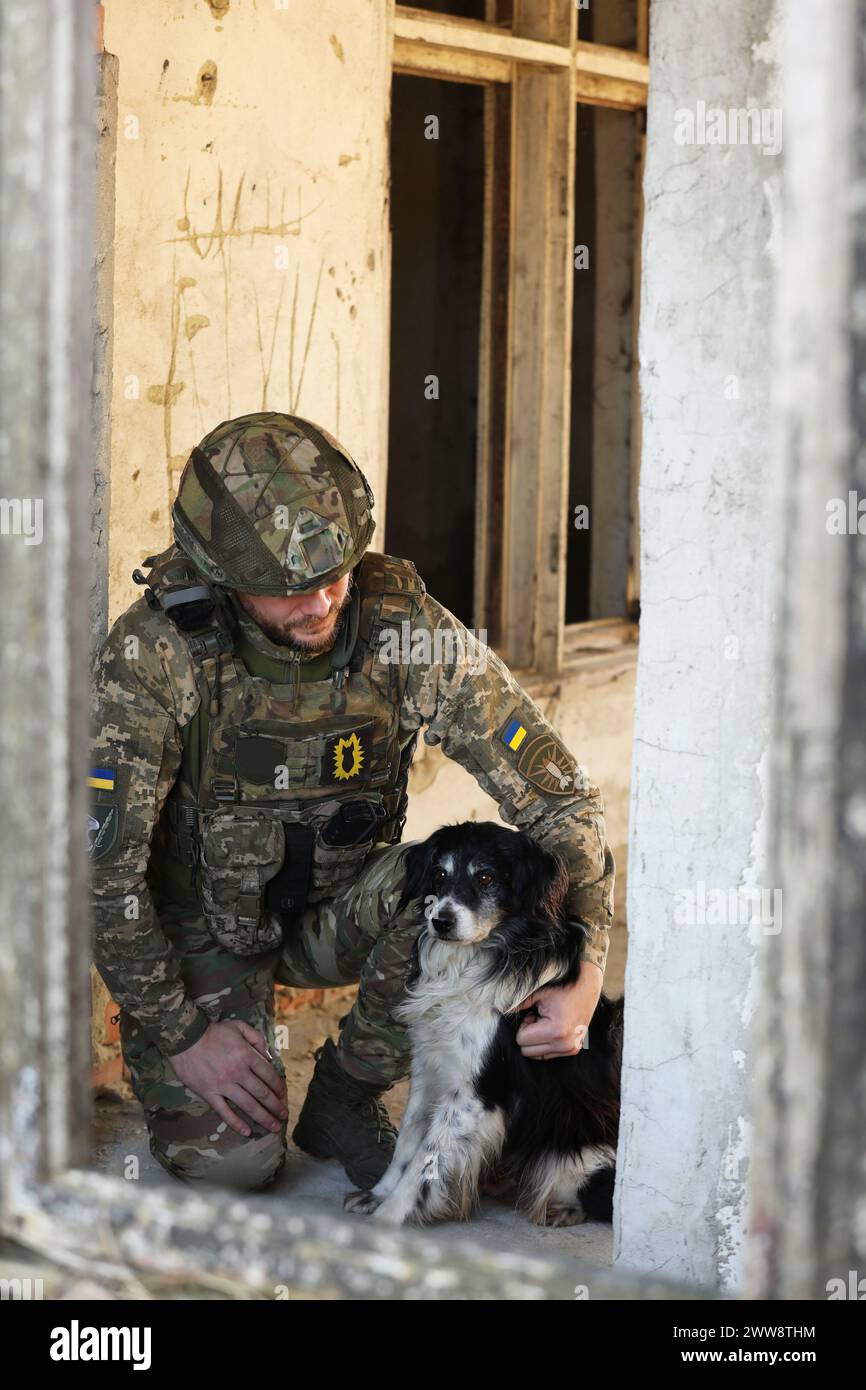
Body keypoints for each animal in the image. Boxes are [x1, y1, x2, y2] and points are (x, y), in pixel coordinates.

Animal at [343, 822, 622, 1228]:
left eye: (486, 878)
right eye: (440, 875)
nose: (441, 921)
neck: (471, 963)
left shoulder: (477, 1093)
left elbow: (427, 1158)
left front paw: (389, 1217)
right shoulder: (429, 1066)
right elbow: (408, 1142)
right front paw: (377, 1195)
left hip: (579, 1157)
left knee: (603, 1198)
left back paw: (563, 1209)